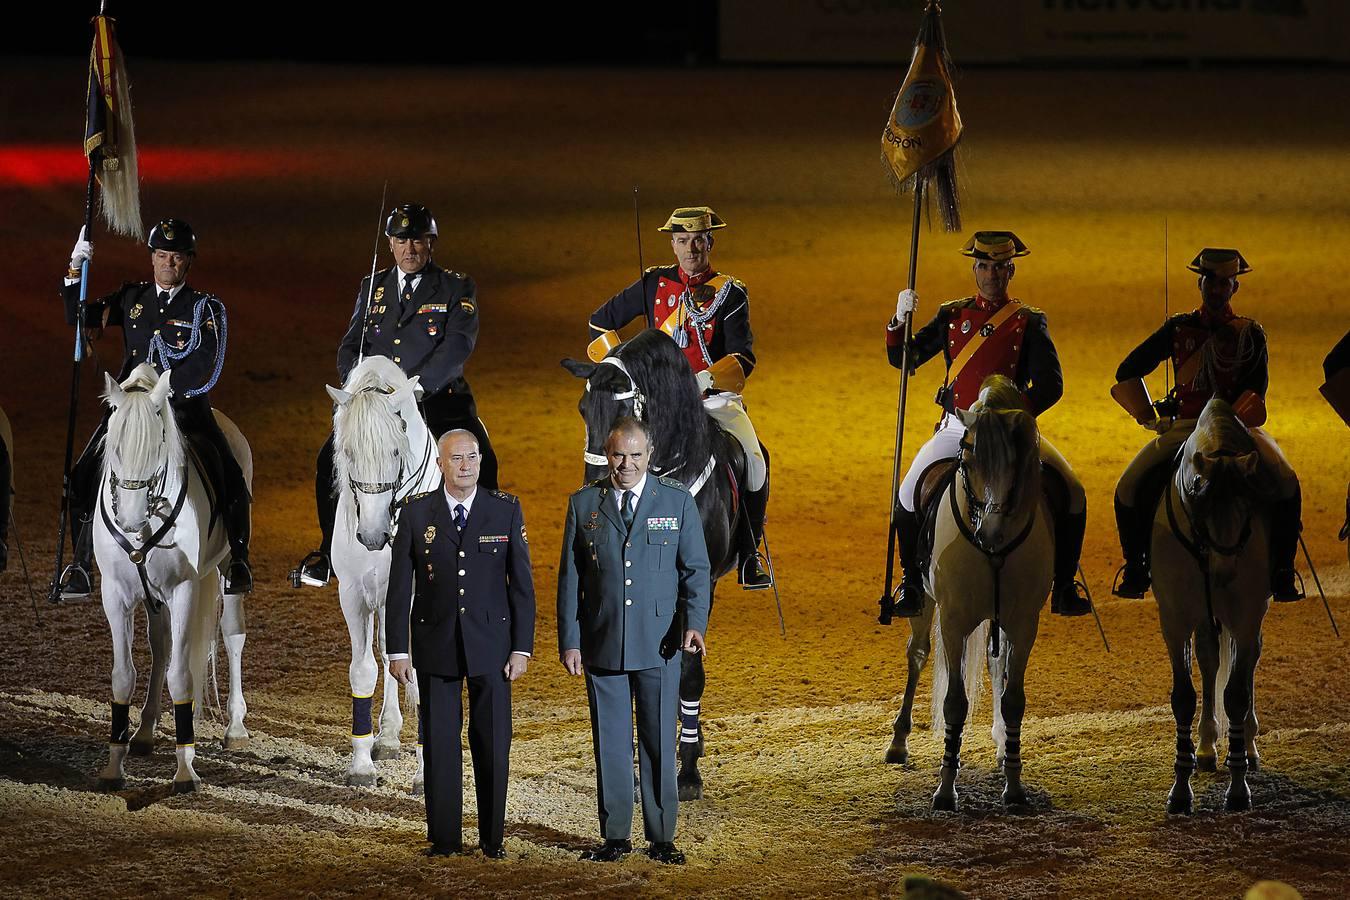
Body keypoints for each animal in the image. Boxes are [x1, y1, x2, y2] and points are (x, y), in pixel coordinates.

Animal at [96, 361, 253, 793]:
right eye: (113, 445)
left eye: (158, 447)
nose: (131, 520)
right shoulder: (115, 595)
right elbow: (123, 676)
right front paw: (114, 766)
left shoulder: (184, 589)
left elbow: (181, 674)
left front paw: (185, 770)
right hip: (153, 598)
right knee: (162, 644)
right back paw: (145, 732)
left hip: (226, 570)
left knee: (232, 635)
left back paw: (235, 727)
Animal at [324, 356, 434, 793]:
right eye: (347, 452)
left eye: (395, 450)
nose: (372, 536)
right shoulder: (354, 594)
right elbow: (364, 670)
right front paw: (361, 766)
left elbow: (418, 674)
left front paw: (425, 774)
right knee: (389, 654)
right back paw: (386, 738)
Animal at [558, 330, 772, 804]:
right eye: (582, 409)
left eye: (624, 411)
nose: (594, 485)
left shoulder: (699, 582)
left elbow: (690, 671)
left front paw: (687, 773)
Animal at [885, 377, 1053, 814]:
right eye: (968, 456)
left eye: (1016, 460)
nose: (988, 532)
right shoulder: (954, 619)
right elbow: (954, 704)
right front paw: (946, 791)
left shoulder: (1023, 623)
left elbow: (1014, 699)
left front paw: (1014, 787)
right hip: (927, 604)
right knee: (918, 654)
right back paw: (898, 742)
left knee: (996, 666)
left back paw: (1000, 743)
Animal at [1150, 396, 1274, 814]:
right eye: (1198, 499)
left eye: (1247, 505)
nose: (1224, 573)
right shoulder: (1174, 620)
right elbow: (1183, 698)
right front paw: (1179, 791)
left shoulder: (1245, 615)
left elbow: (1235, 695)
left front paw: (1237, 790)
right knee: (1208, 659)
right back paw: (1205, 747)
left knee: (1246, 664)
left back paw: (1246, 747)